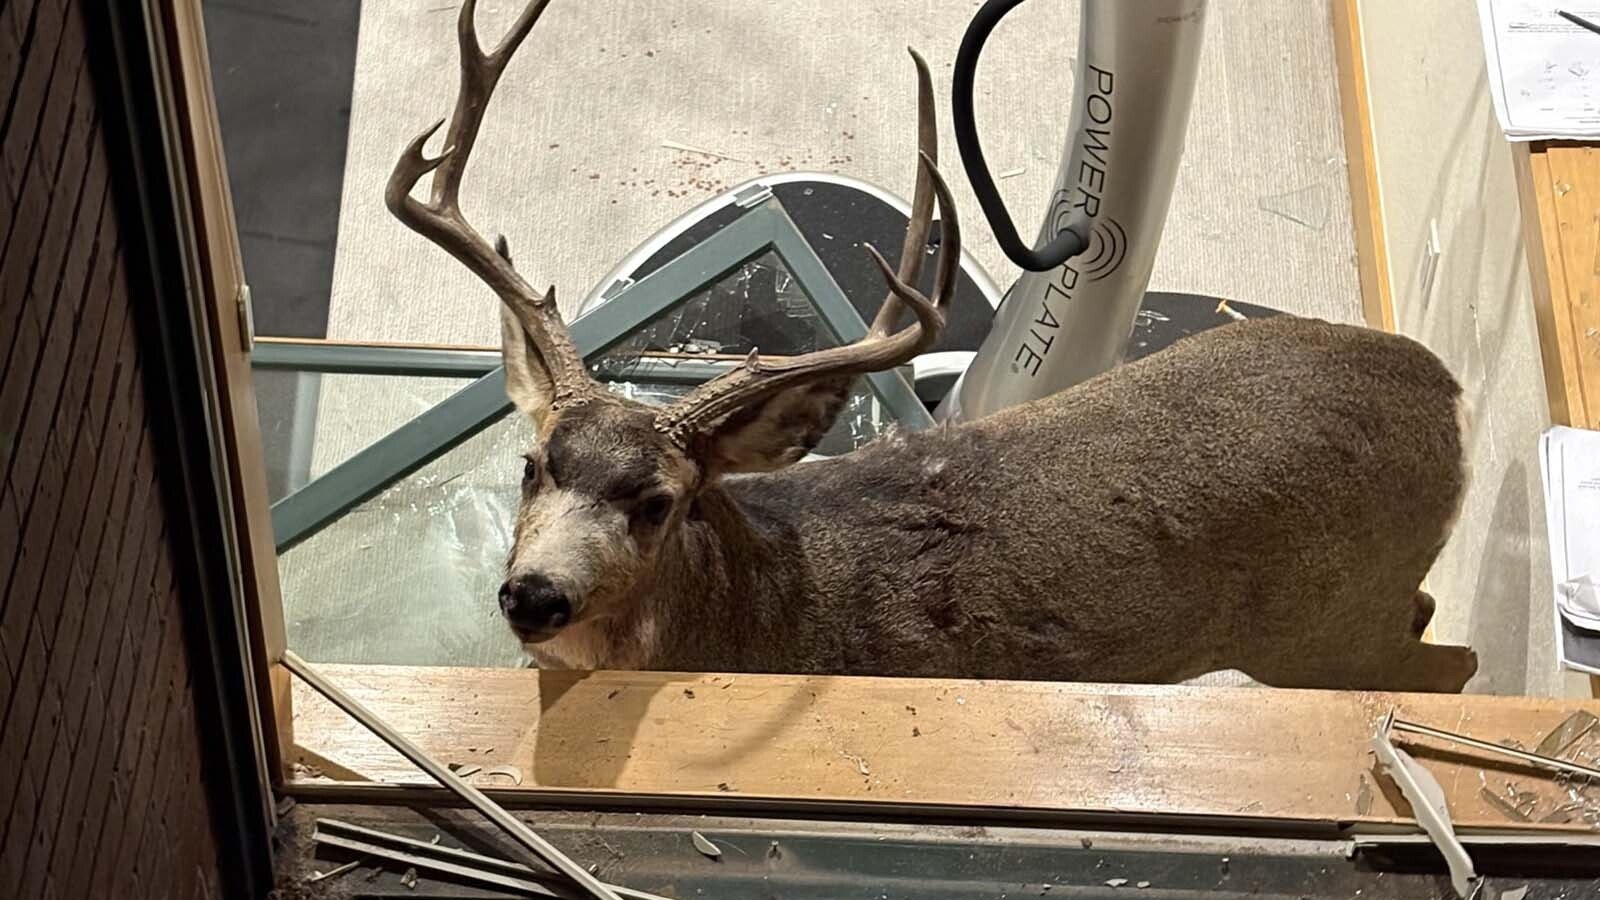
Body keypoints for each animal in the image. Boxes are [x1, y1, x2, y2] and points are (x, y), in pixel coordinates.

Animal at [386, 0, 1479, 693]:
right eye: (532, 464)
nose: (534, 595)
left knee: (1447, 661)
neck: (756, 620)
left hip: (1327, 629)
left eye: (658, 500)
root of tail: (1446, 392)